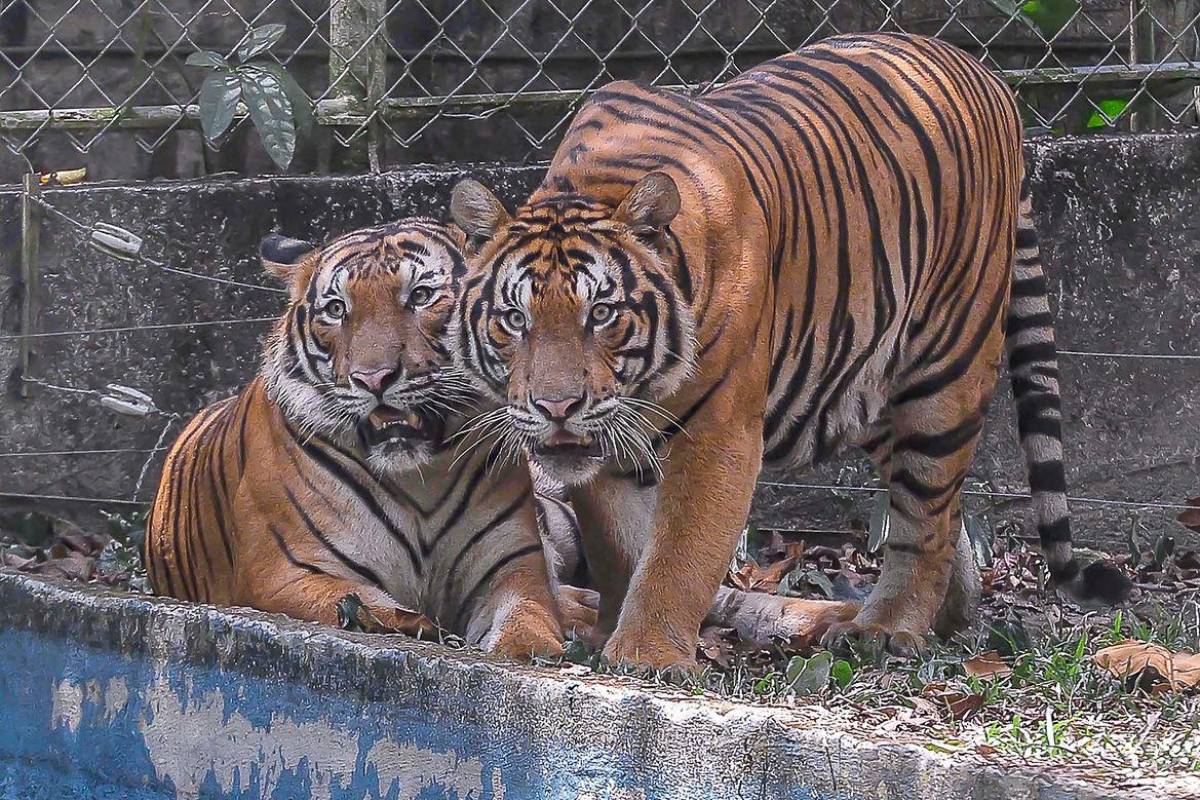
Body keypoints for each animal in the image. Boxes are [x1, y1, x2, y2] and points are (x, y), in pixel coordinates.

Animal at [143, 218, 582, 659]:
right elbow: (368, 605)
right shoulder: (285, 573)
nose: (373, 379)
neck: (422, 478)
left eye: (420, 296)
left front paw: (532, 649)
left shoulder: (513, 567)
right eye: (337, 309)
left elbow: (527, 620)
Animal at [448, 32, 1131, 671]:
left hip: (944, 366)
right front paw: (608, 631)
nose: (556, 407)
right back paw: (944, 618)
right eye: (515, 319)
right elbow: (620, 544)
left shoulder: (720, 429)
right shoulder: (607, 450)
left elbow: (680, 548)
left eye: (602, 314)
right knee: (941, 507)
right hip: (867, 383)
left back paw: (890, 628)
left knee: (927, 513)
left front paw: (646, 652)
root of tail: (989, 76)